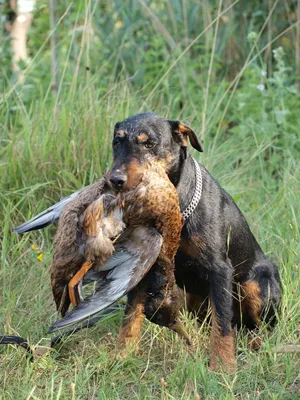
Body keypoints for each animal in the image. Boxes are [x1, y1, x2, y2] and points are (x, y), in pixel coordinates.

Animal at [14, 111, 282, 370]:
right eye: (116, 142)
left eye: (149, 143)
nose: (114, 180)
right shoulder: (147, 270)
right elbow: (131, 318)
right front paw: (121, 358)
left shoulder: (220, 270)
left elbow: (223, 325)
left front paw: (223, 368)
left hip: (258, 283)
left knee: (256, 327)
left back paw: (255, 345)